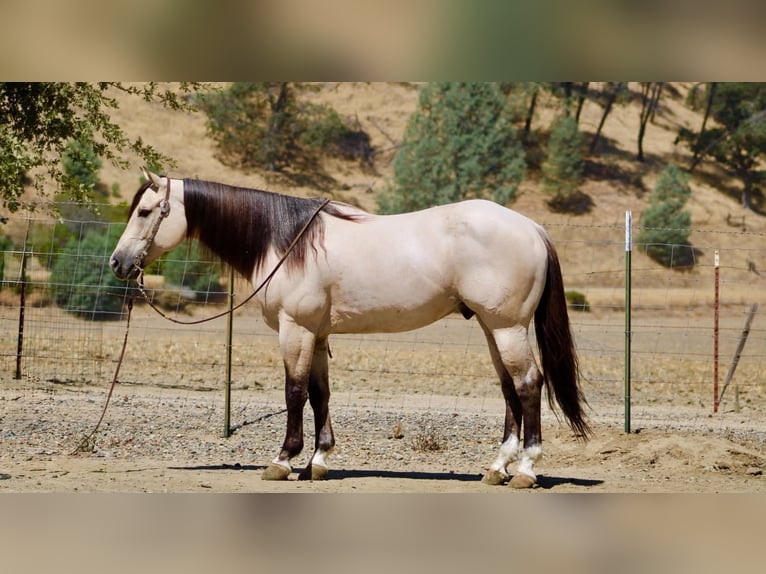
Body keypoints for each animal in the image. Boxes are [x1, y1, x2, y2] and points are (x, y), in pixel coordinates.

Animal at [110, 169, 590, 488]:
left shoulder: (296, 330)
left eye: (146, 211)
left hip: (508, 328)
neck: (287, 242)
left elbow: (294, 392)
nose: (118, 263)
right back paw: (498, 467)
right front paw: (318, 461)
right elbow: (320, 394)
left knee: (528, 383)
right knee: (509, 387)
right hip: (494, 329)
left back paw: (525, 469)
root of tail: (532, 227)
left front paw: (283, 460)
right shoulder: (318, 334)